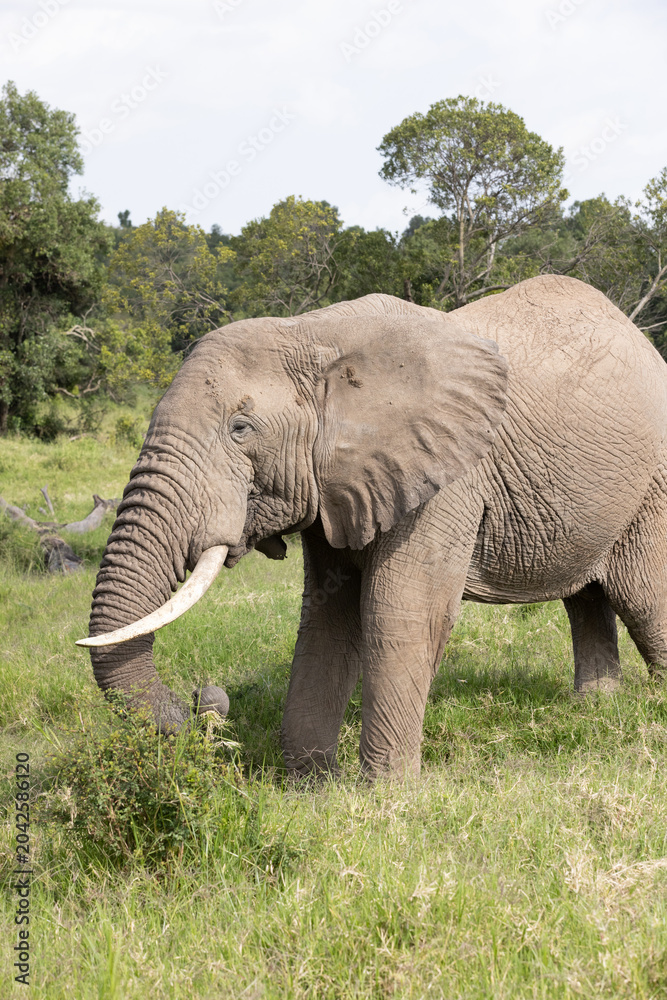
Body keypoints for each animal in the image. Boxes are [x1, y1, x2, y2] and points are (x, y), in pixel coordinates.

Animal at [77, 275, 667, 779]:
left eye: (240, 429)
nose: (206, 700)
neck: (314, 333)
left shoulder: (446, 475)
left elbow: (398, 610)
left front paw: (388, 793)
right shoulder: (339, 483)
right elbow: (326, 616)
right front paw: (311, 787)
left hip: (654, 484)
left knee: (643, 598)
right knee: (586, 598)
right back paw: (595, 708)